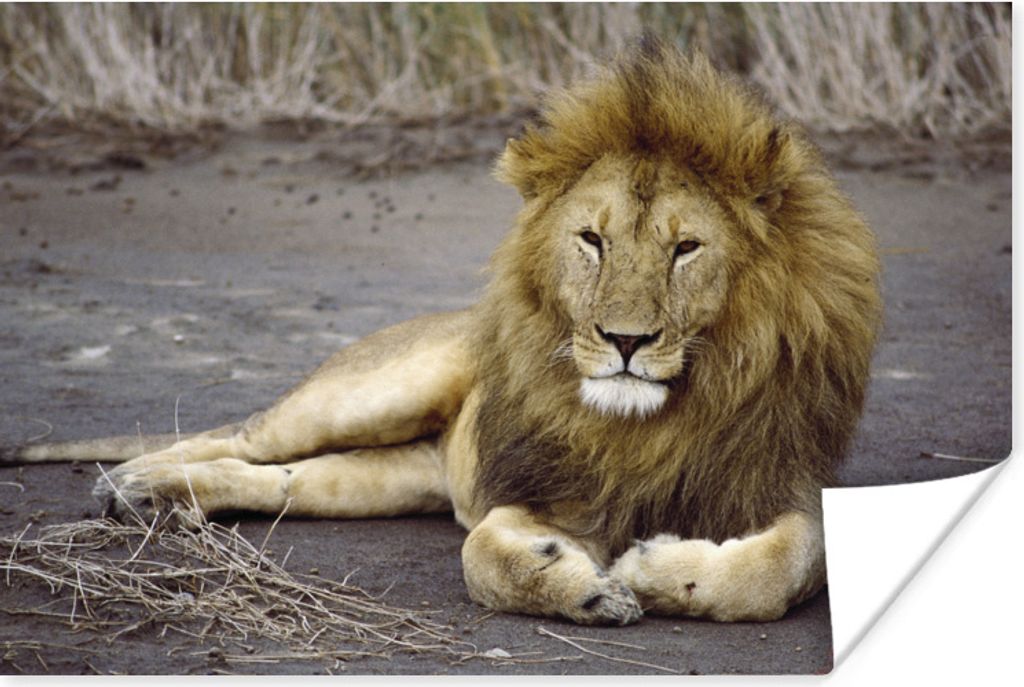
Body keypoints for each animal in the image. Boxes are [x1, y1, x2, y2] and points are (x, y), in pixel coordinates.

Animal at [5, 41, 881, 626]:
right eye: (592, 240)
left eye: (685, 247)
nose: (624, 340)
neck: (648, 423)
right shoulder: (535, 492)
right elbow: (482, 558)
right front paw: (586, 585)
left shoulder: (785, 482)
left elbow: (780, 568)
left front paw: (657, 571)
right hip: (371, 391)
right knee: (243, 435)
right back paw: (130, 481)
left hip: (387, 475)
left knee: (279, 479)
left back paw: (163, 496)